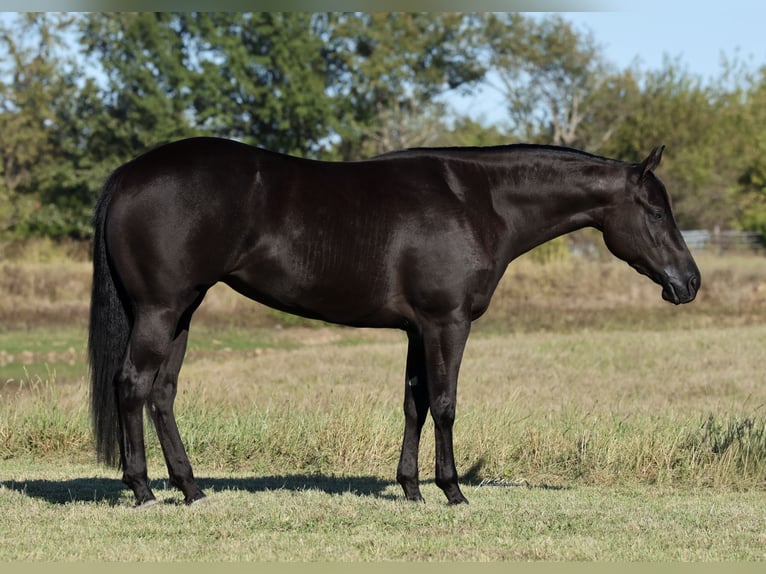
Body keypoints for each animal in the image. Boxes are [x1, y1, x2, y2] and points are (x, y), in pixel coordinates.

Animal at [88, 137, 700, 507]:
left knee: (162, 393)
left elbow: (415, 403)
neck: (478, 201)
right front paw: (452, 491)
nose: (689, 282)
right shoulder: (447, 324)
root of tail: (129, 174)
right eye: (655, 211)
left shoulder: (416, 329)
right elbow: (446, 404)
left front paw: (411, 488)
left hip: (183, 311)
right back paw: (143, 491)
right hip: (161, 310)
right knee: (133, 385)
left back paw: (191, 489)